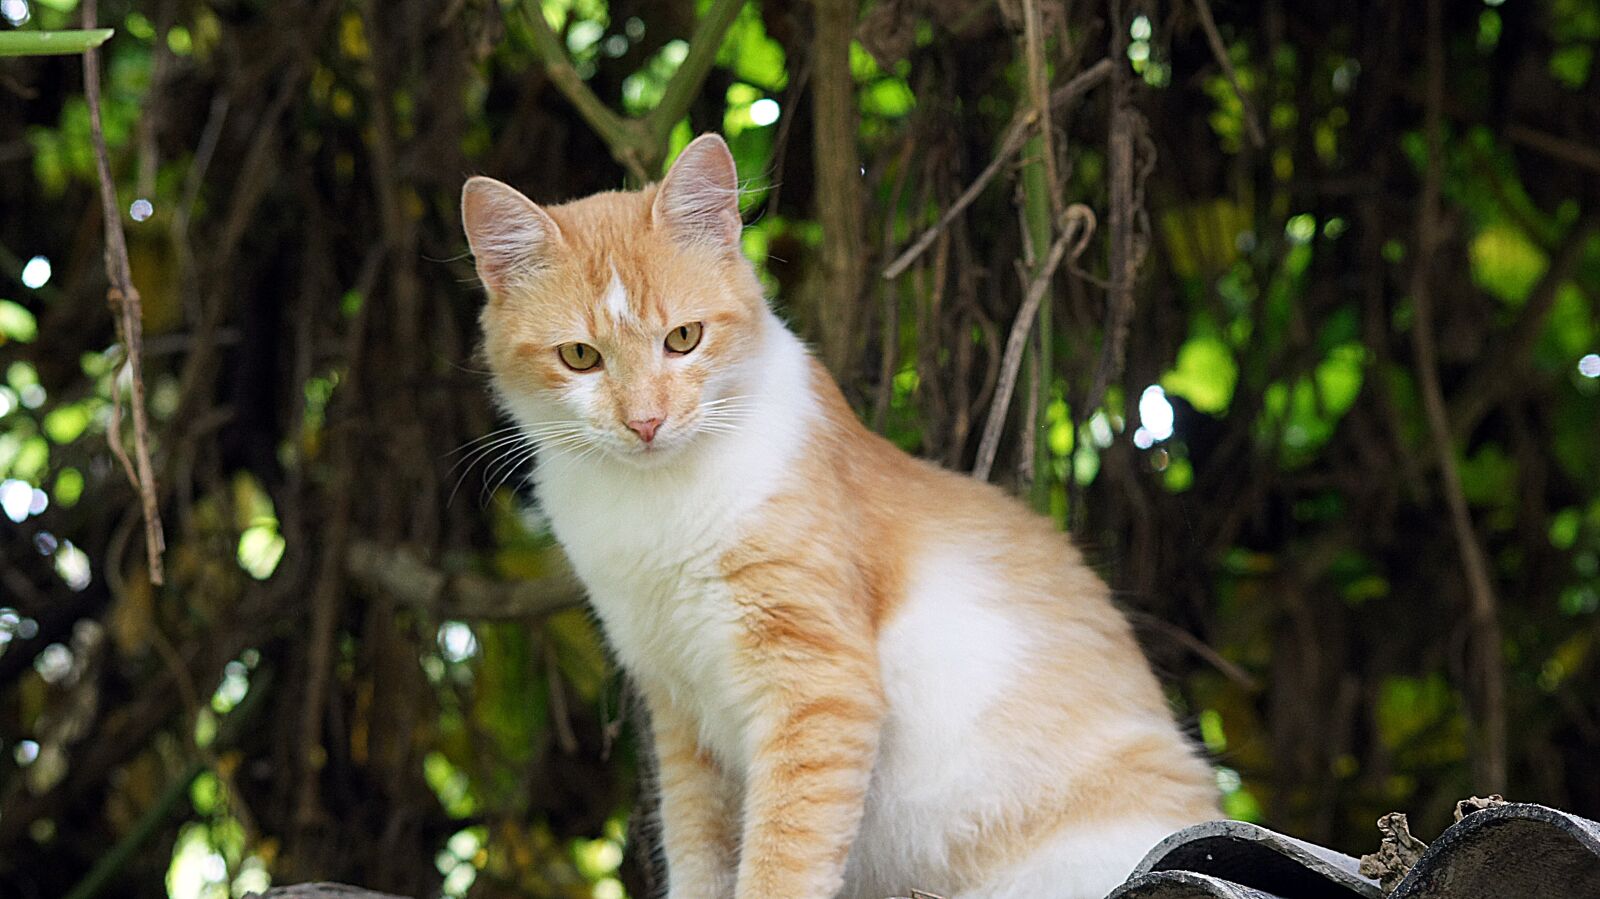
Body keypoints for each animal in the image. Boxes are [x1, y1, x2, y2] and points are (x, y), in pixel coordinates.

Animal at [457, 132, 1216, 895]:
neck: (655, 501)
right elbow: (697, 851)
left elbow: (781, 858)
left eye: (684, 339)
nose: (645, 422)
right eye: (580, 356)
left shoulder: (818, 686)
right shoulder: (681, 713)